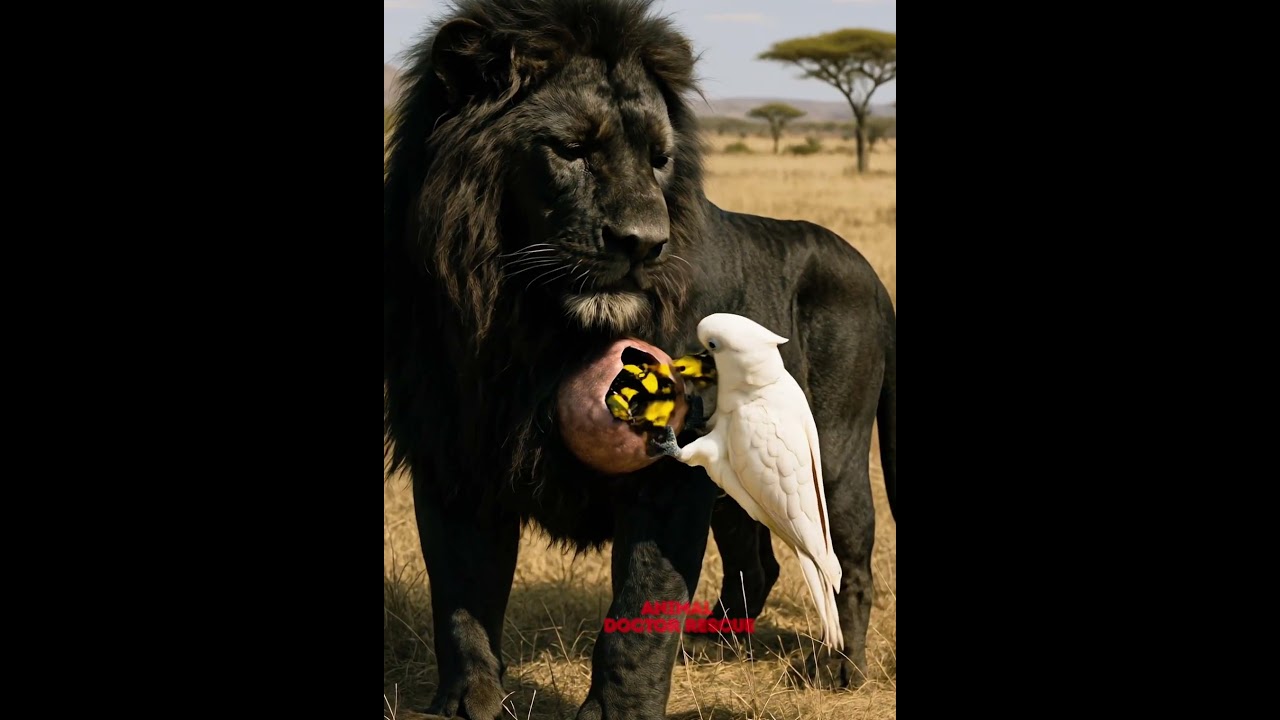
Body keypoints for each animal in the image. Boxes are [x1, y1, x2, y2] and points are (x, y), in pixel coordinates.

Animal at [383, 1, 896, 718]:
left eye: (660, 160)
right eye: (571, 149)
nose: (646, 243)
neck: (525, 326)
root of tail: (872, 274)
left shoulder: (667, 484)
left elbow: (640, 612)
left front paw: (617, 711)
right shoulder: (453, 458)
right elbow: (461, 603)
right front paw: (467, 704)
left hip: (831, 452)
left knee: (847, 561)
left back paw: (840, 669)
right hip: (743, 473)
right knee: (757, 561)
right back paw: (717, 640)